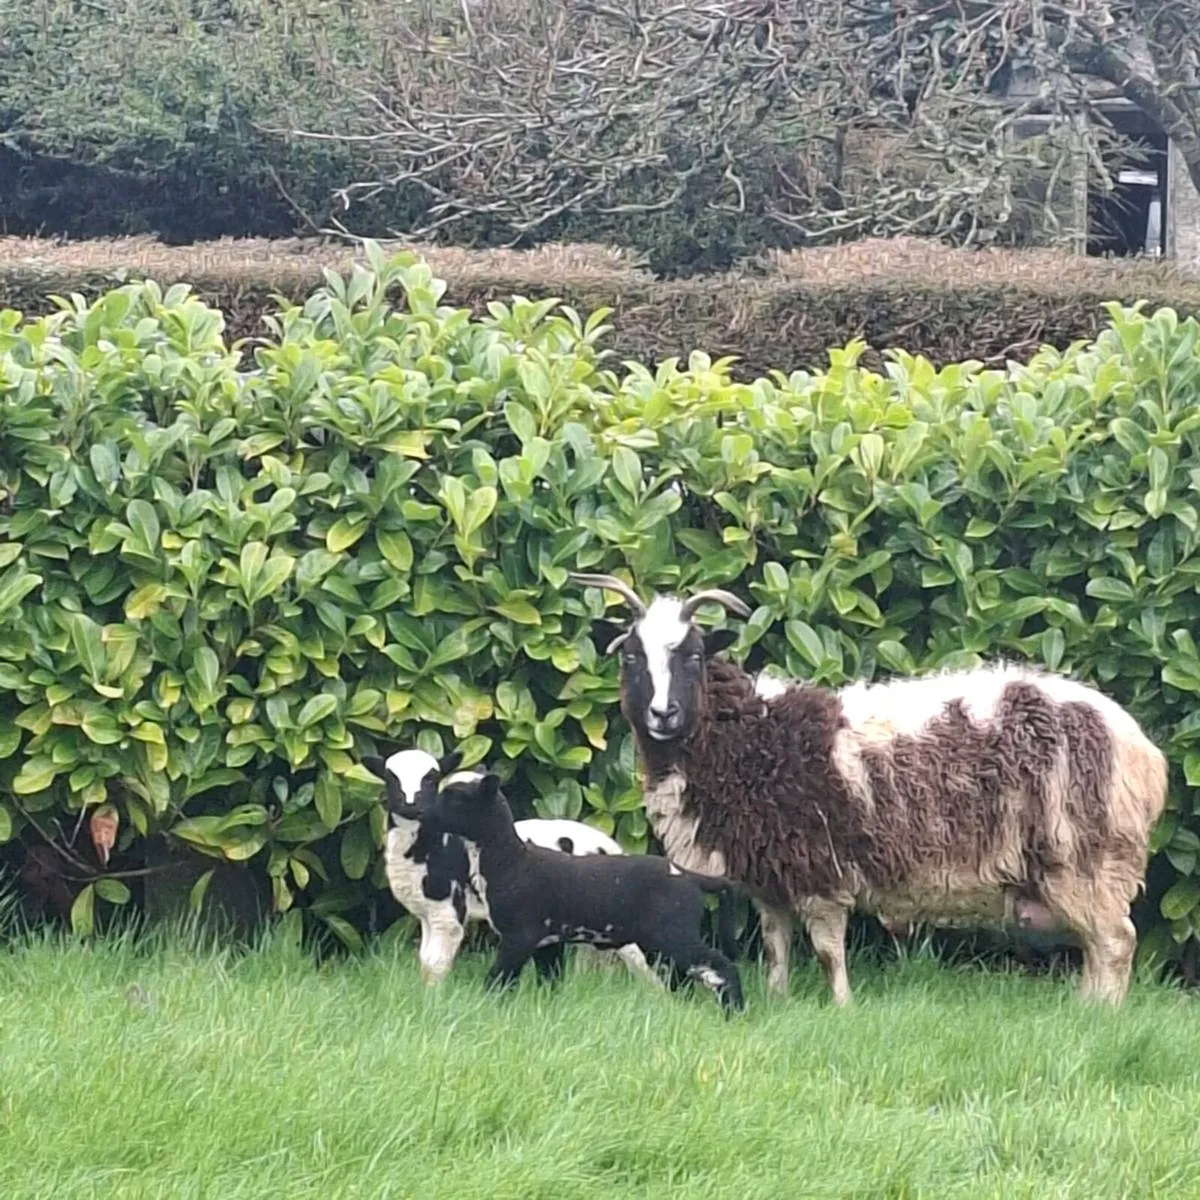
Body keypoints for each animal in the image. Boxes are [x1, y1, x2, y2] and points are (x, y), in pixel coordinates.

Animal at [362, 747, 662, 988]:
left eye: (431, 779)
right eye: (390, 778)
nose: (412, 807)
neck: (429, 851)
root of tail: (610, 845)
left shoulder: (449, 912)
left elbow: (435, 962)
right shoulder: (426, 912)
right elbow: (425, 960)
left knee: (641, 960)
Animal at [409, 768, 745, 1011]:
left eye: (454, 799)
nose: (421, 813)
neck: (509, 859)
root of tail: (688, 875)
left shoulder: (519, 938)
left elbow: (498, 979)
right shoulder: (546, 944)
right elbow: (549, 983)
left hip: (675, 936)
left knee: (722, 967)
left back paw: (735, 1012)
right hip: (663, 943)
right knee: (686, 979)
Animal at [569, 571, 1169, 1006]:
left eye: (692, 655)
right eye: (630, 658)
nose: (662, 714)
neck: (749, 739)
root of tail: (1143, 751)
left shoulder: (819, 870)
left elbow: (827, 951)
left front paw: (841, 1008)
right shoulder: (771, 877)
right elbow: (776, 947)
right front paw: (777, 1003)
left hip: (1085, 858)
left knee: (1115, 943)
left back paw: (1101, 1015)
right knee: (1098, 946)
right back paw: (1086, 1007)